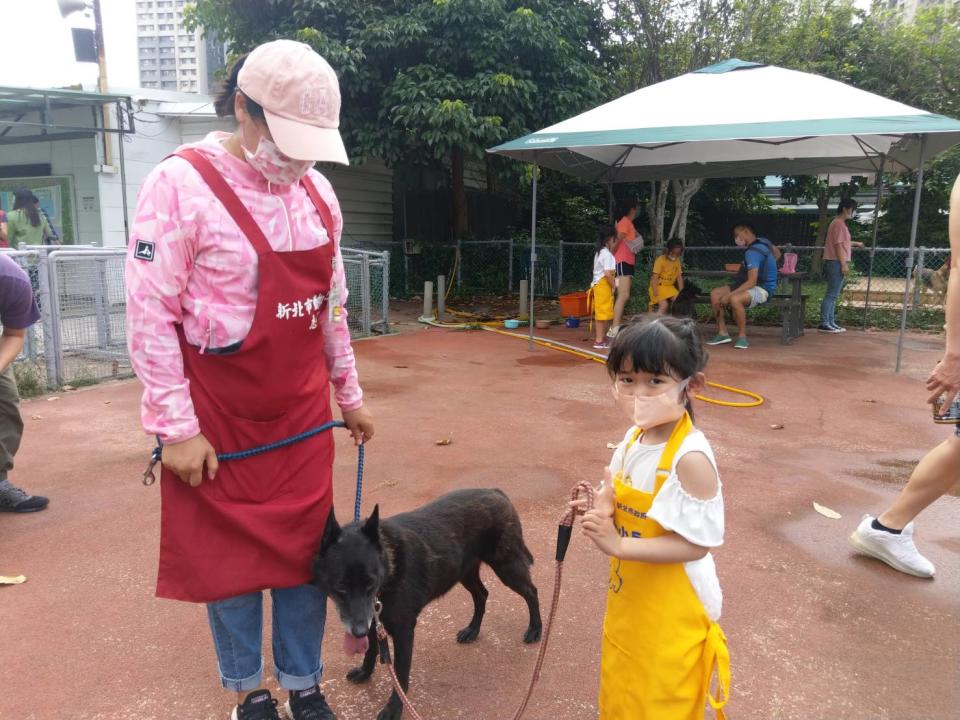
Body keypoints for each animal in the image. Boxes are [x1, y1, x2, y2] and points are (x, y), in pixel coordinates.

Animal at [314, 486, 544, 716]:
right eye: (341, 586)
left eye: (370, 583)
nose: (358, 631)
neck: (388, 565)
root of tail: (495, 491)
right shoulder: (372, 620)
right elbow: (371, 649)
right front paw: (365, 672)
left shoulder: (403, 631)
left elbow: (401, 675)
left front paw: (394, 709)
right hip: (465, 573)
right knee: (482, 595)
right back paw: (472, 630)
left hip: (507, 567)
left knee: (532, 592)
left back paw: (535, 629)